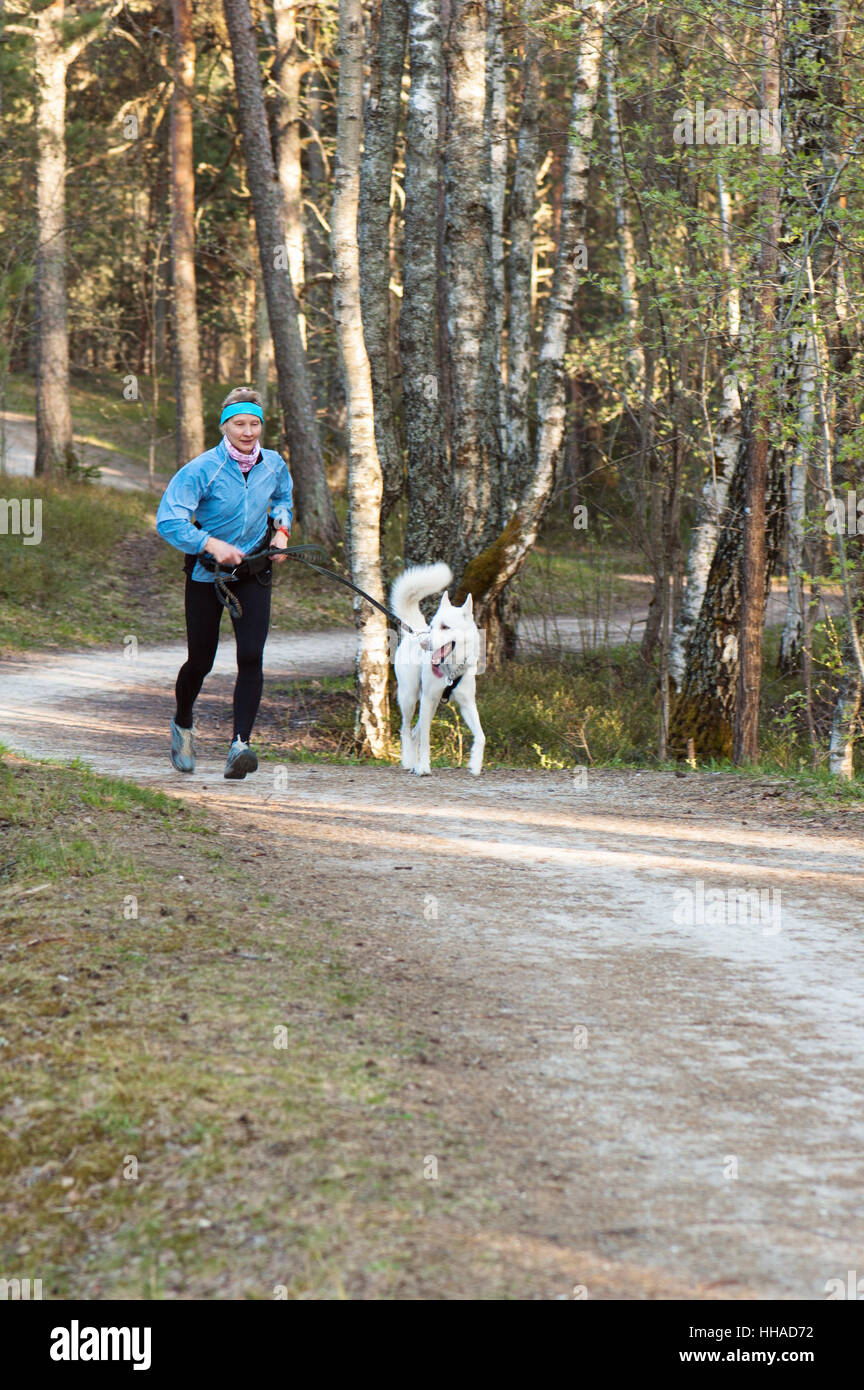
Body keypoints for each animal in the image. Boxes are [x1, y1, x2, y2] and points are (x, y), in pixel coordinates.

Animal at [391, 567, 488, 783]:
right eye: (433, 626)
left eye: (445, 627)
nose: (424, 644)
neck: (450, 670)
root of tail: (414, 632)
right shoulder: (427, 699)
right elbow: (426, 739)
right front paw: (424, 767)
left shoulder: (467, 704)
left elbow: (481, 735)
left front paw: (475, 764)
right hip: (410, 698)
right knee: (406, 729)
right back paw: (409, 762)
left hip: (431, 705)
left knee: (414, 733)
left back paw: (413, 763)